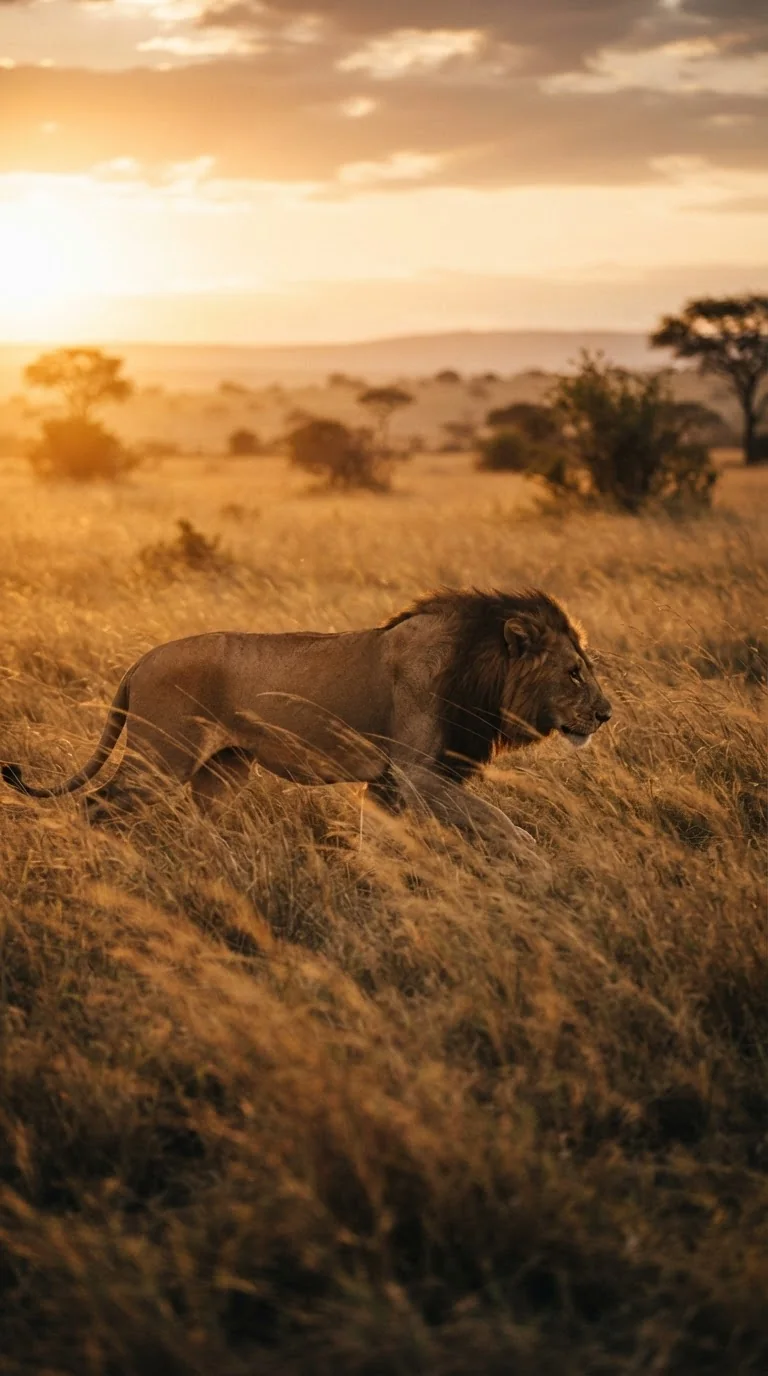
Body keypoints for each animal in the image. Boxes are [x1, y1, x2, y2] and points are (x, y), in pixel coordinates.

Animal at [2, 588, 612, 849]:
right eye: (573, 673)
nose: (606, 714)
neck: (476, 668)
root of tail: (140, 660)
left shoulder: (389, 782)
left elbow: (377, 841)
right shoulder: (418, 774)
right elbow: (499, 822)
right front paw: (537, 864)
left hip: (223, 769)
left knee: (201, 824)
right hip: (162, 759)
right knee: (95, 805)